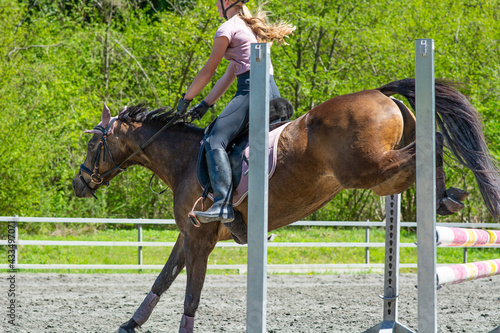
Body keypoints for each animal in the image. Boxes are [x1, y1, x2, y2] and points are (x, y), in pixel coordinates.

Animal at [71, 78, 500, 332]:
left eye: (93, 144)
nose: (78, 184)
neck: (183, 159)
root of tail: (381, 94)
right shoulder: (189, 235)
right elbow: (163, 278)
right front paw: (130, 323)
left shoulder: (200, 239)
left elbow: (191, 291)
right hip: (382, 180)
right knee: (423, 155)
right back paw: (446, 196)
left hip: (366, 170)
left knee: (433, 144)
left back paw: (447, 194)